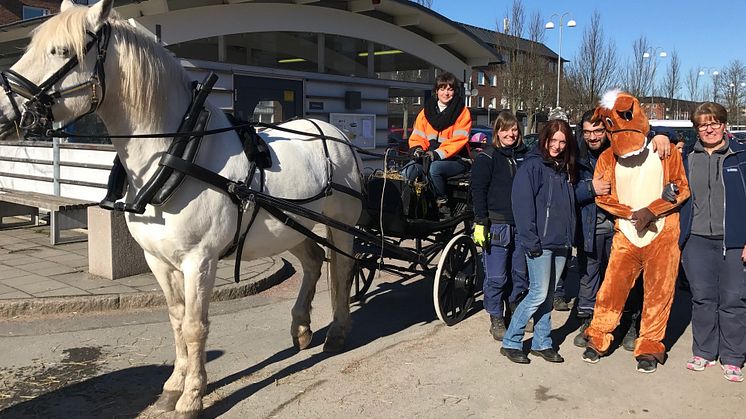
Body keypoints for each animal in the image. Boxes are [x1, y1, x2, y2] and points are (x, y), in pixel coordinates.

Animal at [0, 1, 364, 418]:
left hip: (340, 226)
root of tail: (335, 132)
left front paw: (192, 396)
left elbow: (194, 325)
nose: (1, 110)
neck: (177, 153)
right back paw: (302, 328)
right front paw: (174, 385)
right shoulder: (157, 259)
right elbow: (176, 320)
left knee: (342, 269)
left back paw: (337, 330)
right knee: (314, 261)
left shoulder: (199, 261)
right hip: (290, 226)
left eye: (60, 51)